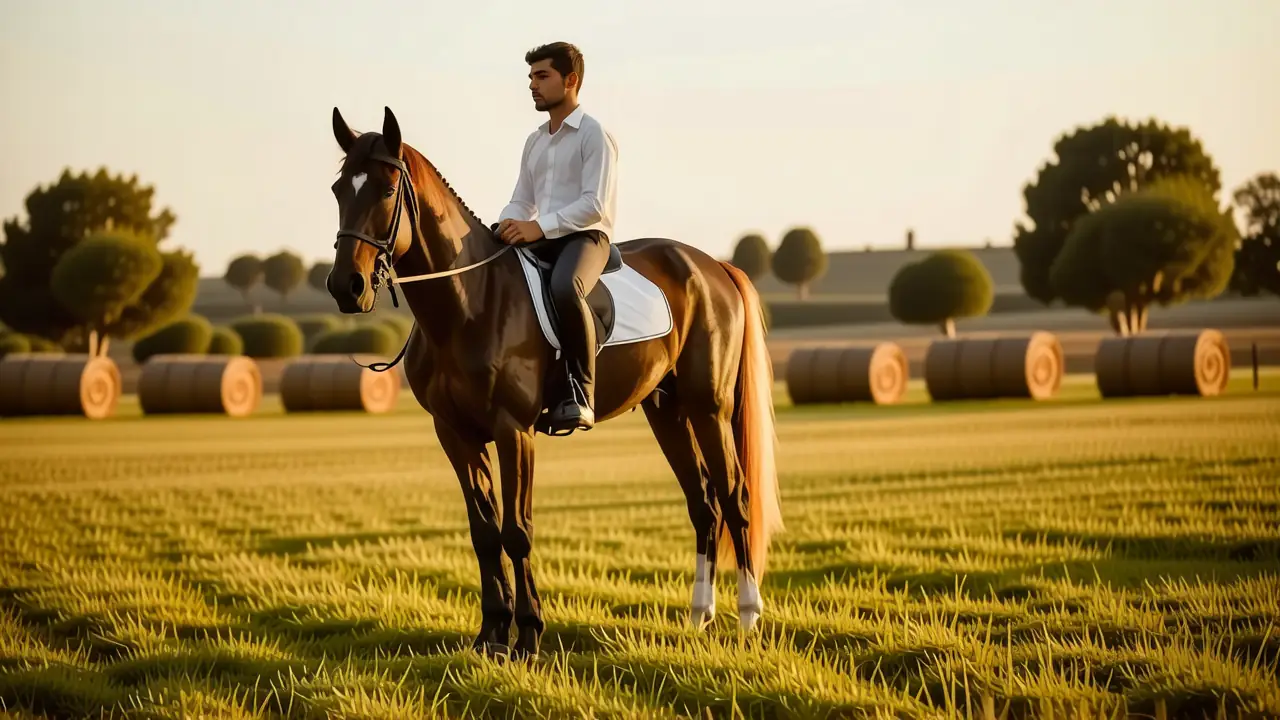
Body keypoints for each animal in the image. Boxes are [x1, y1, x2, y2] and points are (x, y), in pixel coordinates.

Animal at [325, 105, 783, 660]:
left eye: (388, 189)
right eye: (338, 189)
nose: (346, 286)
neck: (470, 302)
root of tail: (713, 266)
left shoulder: (513, 430)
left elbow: (516, 531)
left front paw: (527, 636)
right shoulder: (455, 434)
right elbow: (484, 533)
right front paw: (490, 635)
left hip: (708, 408)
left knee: (735, 498)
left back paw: (748, 618)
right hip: (668, 411)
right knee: (704, 505)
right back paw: (700, 616)